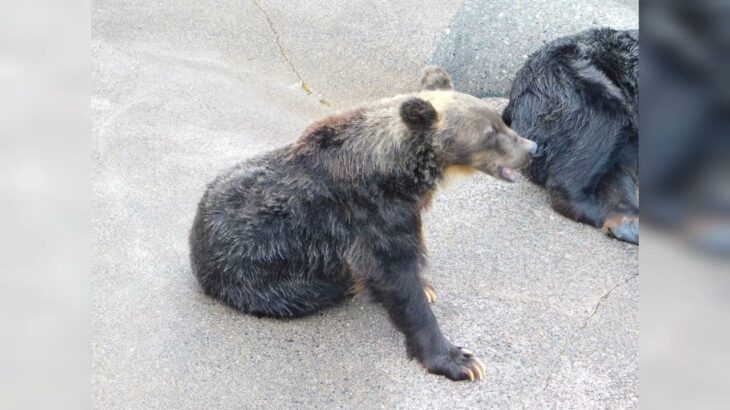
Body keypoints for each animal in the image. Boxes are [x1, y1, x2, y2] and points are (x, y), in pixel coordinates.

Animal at [191, 65, 536, 380]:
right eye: (490, 134)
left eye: (501, 122)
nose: (532, 148)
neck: (399, 174)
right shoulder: (370, 216)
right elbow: (397, 279)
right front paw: (459, 360)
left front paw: (427, 287)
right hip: (263, 279)